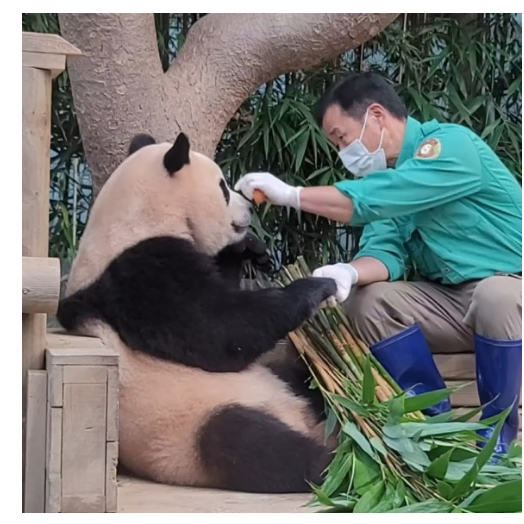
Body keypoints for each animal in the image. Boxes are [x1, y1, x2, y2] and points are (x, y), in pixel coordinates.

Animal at [56, 133, 336, 494]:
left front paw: (251, 250)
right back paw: (339, 462)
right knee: (249, 442)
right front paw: (318, 286)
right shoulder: (139, 276)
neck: (136, 216)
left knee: (302, 380)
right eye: (223, 188)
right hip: (190, 428)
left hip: (277, 378)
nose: (249, 209)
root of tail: (304, 423)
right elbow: (219, 331)